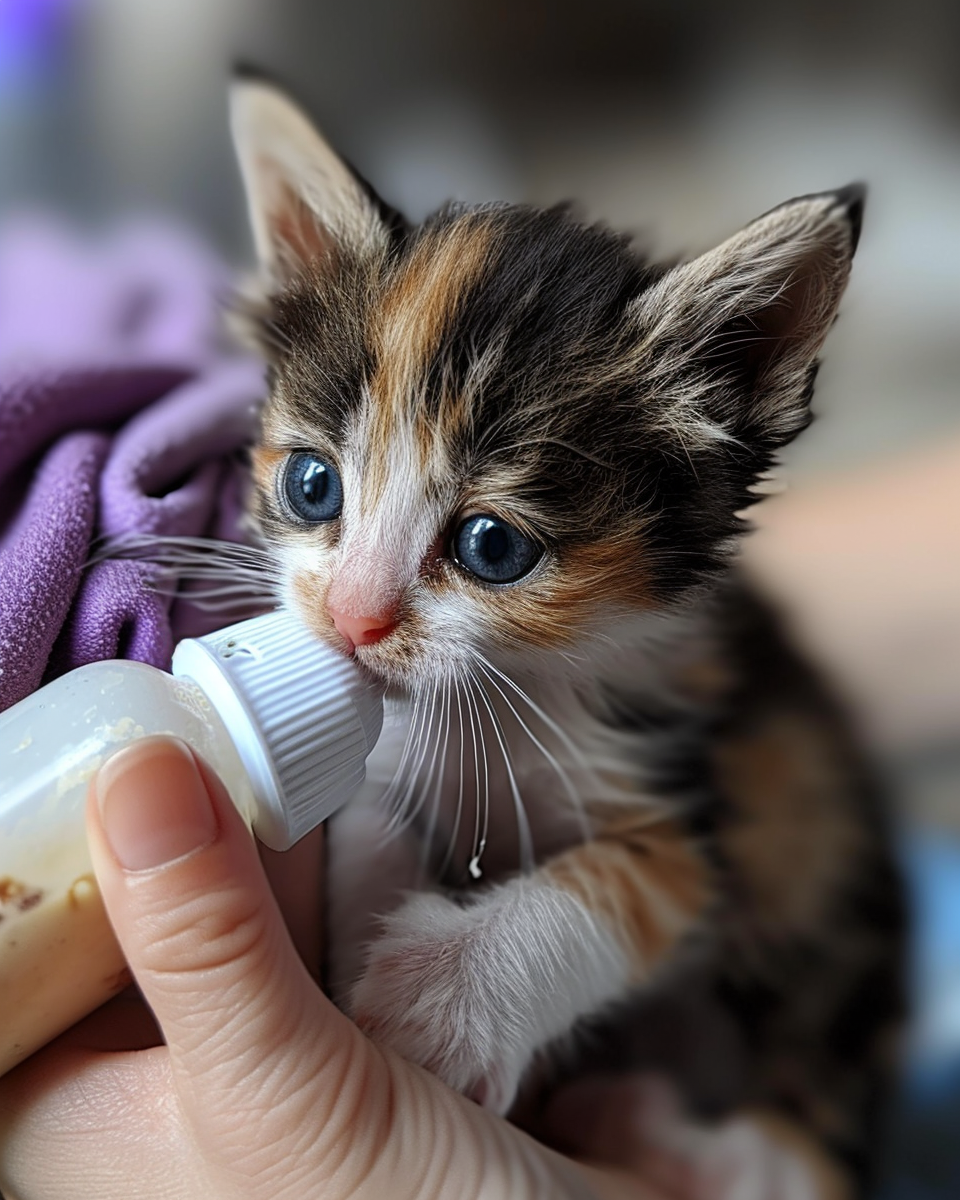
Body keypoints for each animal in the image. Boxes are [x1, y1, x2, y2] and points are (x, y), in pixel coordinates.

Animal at [229, 77, 902, 1200]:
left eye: (492, 546)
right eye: (312, 485)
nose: (352, 618)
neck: (510, 690)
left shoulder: (692, 795)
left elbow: (618, 887)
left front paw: (438, 1000)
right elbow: (371, 807)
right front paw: (370, 911)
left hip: (817, 880)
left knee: (809, 1140)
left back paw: (678, 1137)